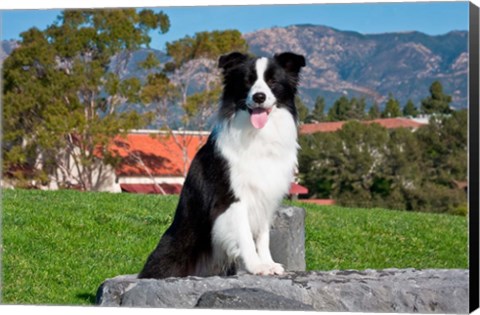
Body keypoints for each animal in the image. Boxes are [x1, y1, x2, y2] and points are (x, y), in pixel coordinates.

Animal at [137, 50, 306, 278]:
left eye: (272, 81)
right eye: (247, 81)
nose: (259, 97)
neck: (257, 135)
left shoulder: (265, 196)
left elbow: (263, 237)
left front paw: (268, 263)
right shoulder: (231, 198)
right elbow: (245, 236)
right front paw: (256, 266)